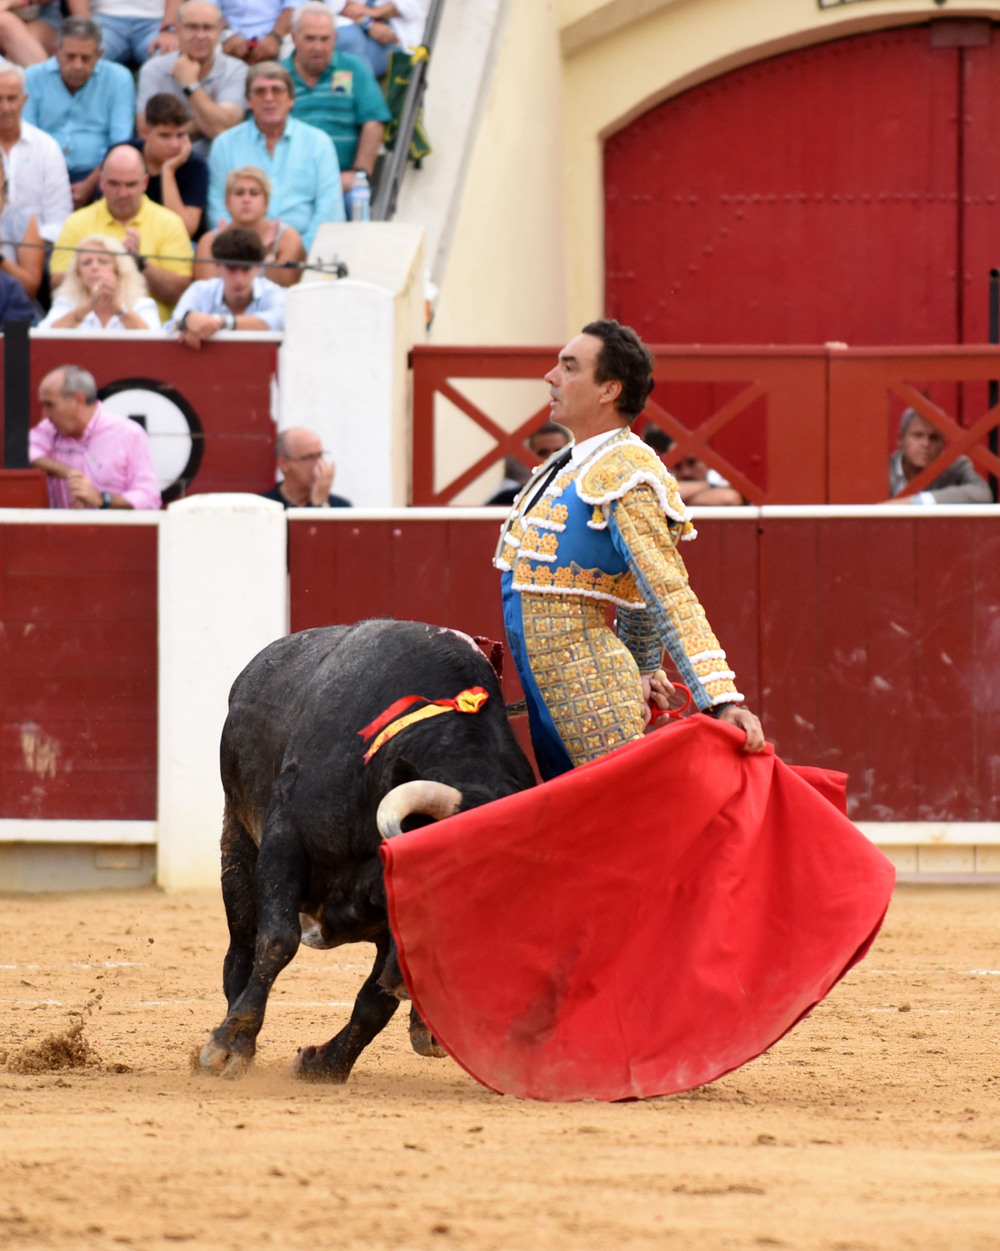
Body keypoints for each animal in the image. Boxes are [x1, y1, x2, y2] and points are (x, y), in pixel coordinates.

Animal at [198, 620, 535, 1080]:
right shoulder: (285, 842)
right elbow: (277, 941)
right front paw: (230, 1045)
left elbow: (375, 1001)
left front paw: (324, 1065)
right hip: (238, 841)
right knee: (242, 948)